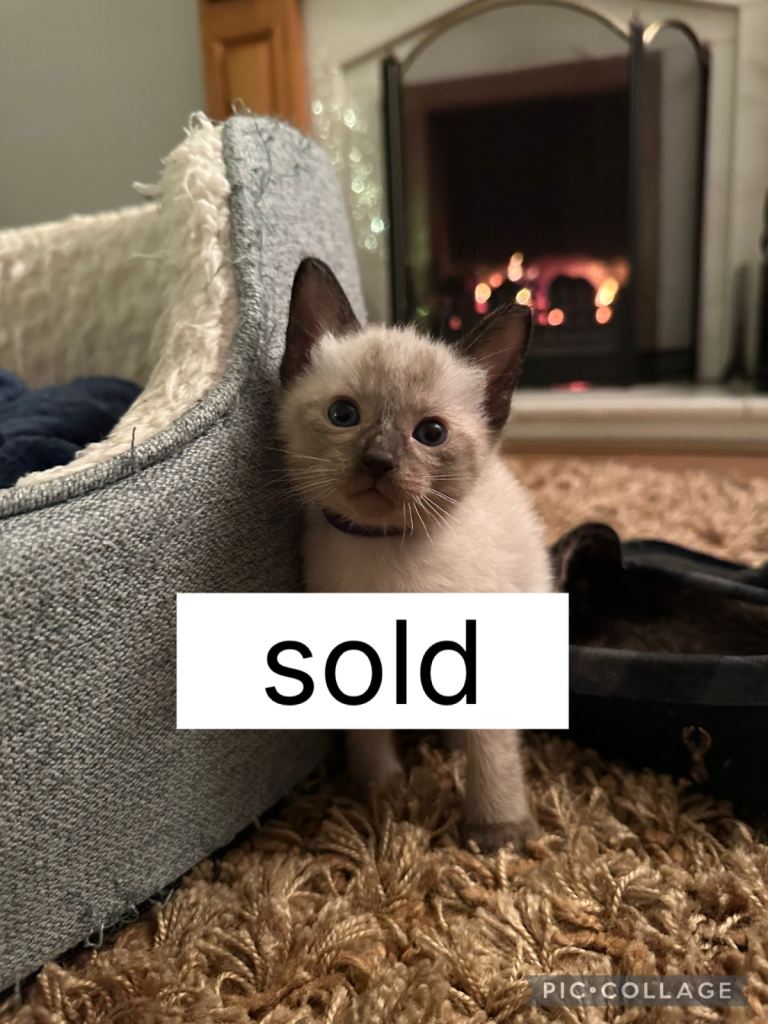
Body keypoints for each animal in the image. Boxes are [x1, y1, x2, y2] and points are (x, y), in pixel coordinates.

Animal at [277, 257, 551, 852]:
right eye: (343, 415)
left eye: (430, 433)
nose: (378, 461)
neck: (385, 557)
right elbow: (368, 736)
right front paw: (381, 796)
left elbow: (492, 756)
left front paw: (497, 833)